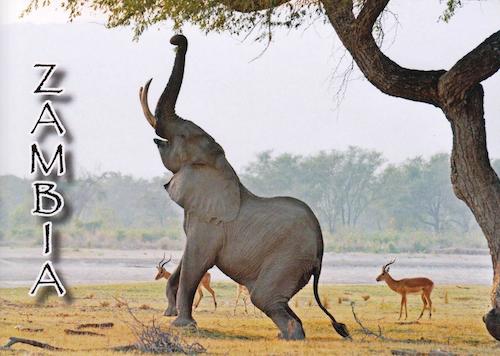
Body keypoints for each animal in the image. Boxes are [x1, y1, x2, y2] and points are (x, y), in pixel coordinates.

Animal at [139, 34, 350, 340]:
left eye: (183, 136)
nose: (176, 39)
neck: (222, 167)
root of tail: (320, 255)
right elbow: (184, 262)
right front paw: (172, 314)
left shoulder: (210, 225)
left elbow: (196, 262)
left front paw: (183, 326)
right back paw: (284, 335)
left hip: (286, 261)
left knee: (264, 298)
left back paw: (290, 336)